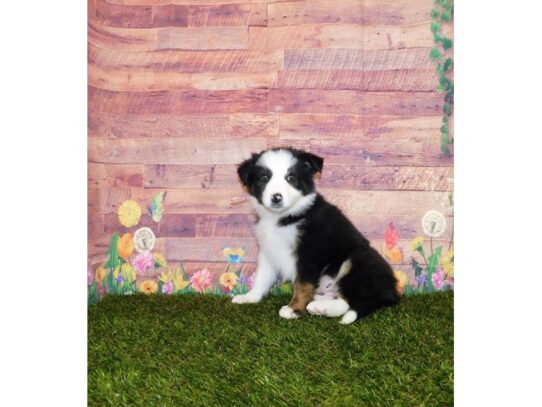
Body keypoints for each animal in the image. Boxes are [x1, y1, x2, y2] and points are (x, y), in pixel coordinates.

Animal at [232, 147, 402, 326]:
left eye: (291, 178)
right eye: (264, 178)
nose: (276, 197)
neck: (284, 217)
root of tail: (391, 290)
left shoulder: (310, 253)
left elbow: (302, 284)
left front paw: (294, 309)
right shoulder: (268, 250)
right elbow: (262, 277)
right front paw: (249, 297)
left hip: (356, 259)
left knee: (350, 302)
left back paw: (319, 307)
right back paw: (318, 305)